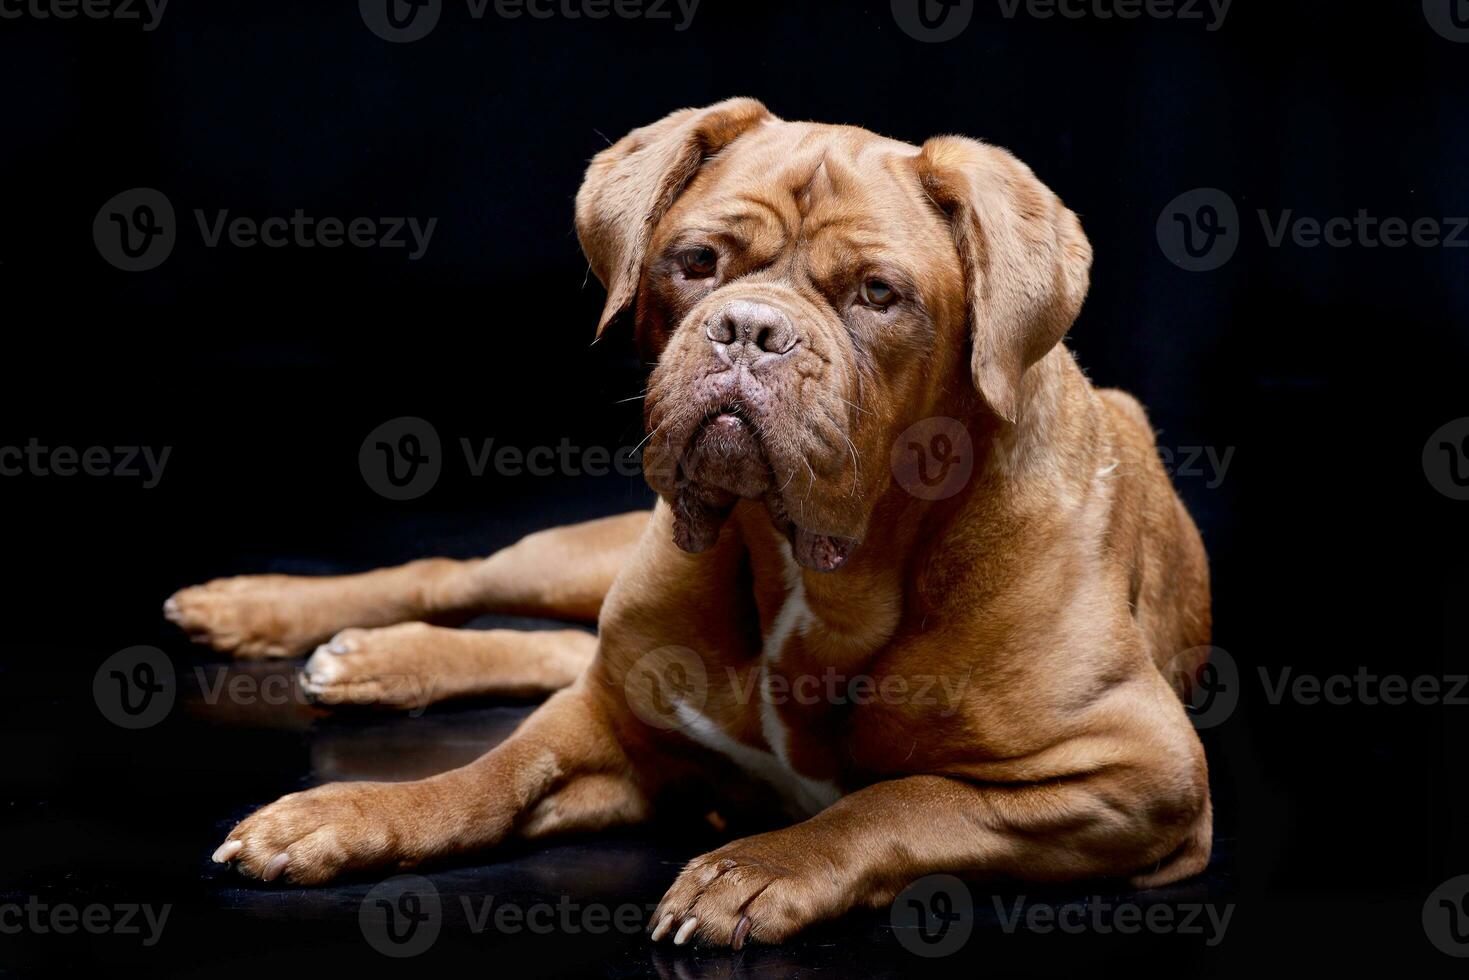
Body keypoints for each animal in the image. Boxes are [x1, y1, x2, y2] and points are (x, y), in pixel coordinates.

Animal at [166, 99, 1210, 952]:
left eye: (877, 294)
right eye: (696, 262)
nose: (749, 328)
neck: (813, 575)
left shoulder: (1141, 779)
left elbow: (901, 801)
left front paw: (760, 867)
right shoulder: (610, 719)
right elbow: (487, 777)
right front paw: (342, 815)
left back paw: (374, 660)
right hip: (574, 565)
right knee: (462, 579)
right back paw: (275, 613)